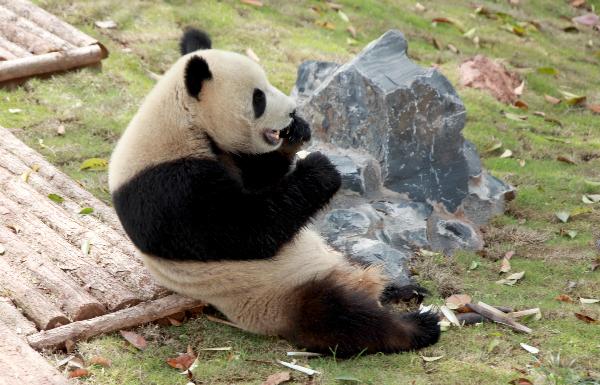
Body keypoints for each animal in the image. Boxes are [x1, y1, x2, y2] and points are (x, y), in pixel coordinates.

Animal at [108, 28, 438, 356]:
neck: (184, 119)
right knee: (340, 317)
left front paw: (296, 133)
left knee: (359, 265)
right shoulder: (168, 187)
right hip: (280, 295)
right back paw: (417, 326)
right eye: (259, 98)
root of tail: (356, 282)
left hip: (331, 255)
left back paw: (400, 288)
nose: (292, 111)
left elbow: (263, 183)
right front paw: (320, 168)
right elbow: (249, 229)